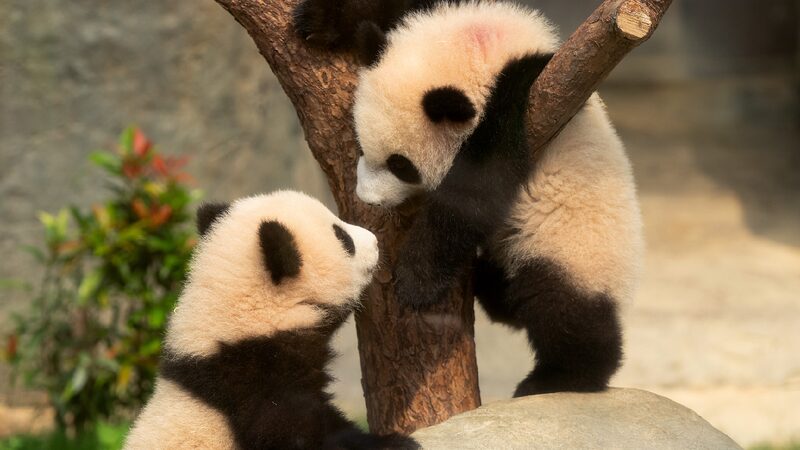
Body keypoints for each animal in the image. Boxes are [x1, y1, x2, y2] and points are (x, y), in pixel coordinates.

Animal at [295, 1, 644, 397]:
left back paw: (559, 377)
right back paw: (490, 285)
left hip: (575, 250)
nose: (366, 198)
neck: (485, 47)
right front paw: (317, 21)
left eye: (401, 165)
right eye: (359, 141)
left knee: (563, 310)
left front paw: (415, 280)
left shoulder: (531, 95)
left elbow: (477, 190)